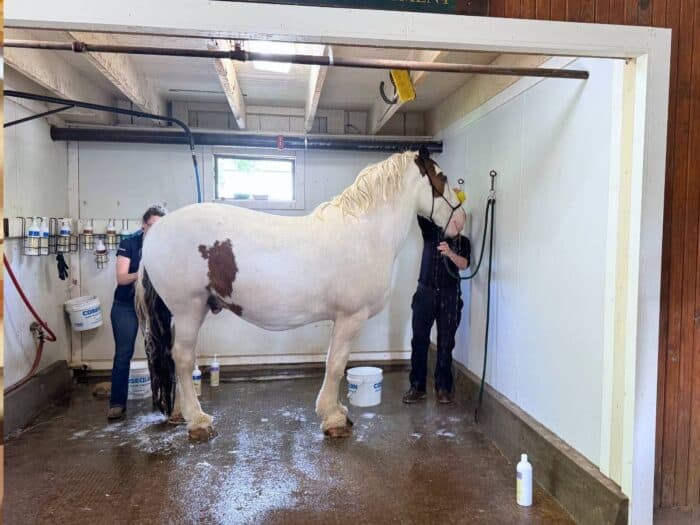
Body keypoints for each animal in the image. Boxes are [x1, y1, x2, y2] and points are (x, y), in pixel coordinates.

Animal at [136, 147, 465, 440]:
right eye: (443, 177)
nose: (459, 223)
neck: (365, 231)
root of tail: (155, 232)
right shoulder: (350, 317)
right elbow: (336, 364)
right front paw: (333, 419)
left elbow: (334, 361)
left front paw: (337, 410)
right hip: (189, 309)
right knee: (182, 358)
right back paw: (198, 421)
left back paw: (181, 414)